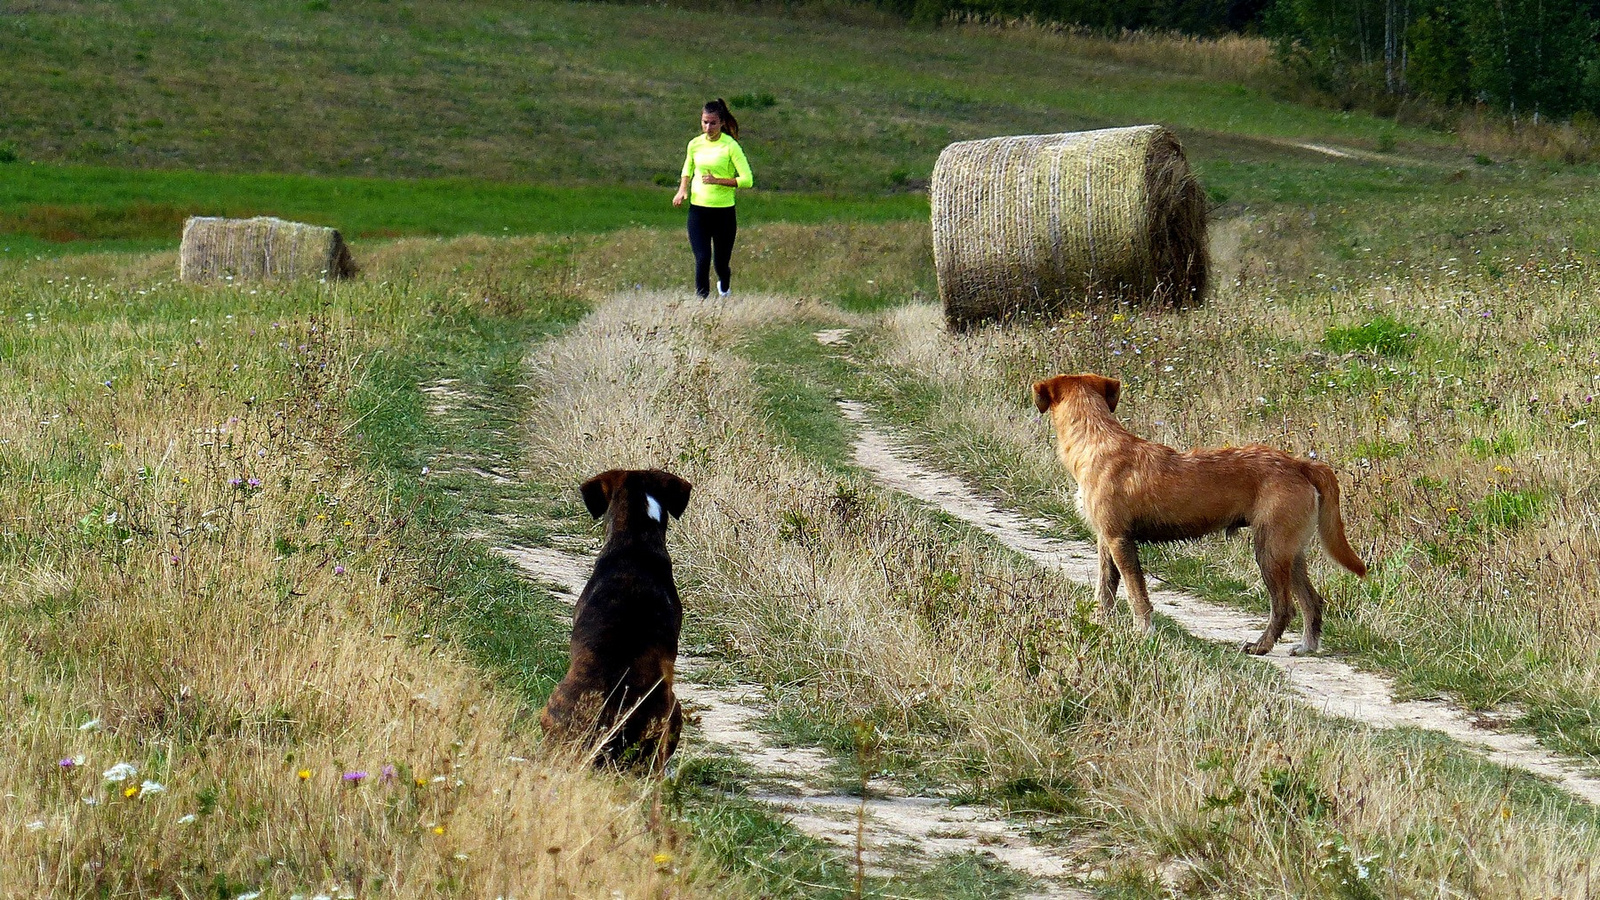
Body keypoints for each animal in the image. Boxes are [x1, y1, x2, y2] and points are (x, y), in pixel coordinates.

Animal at [1036, 371, 1363, 650]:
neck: (1096, 437)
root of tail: (1300, 464)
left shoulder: (1119, 541)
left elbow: (1135, 593)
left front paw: (1144, 633)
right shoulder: (1106, 540)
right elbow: (1104, 591)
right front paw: (1098, 624)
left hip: (1270, 551)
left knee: (1284, 607)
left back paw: (1261, 646)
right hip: (1290, 553)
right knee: (1312, 601)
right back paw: (1306, 645)